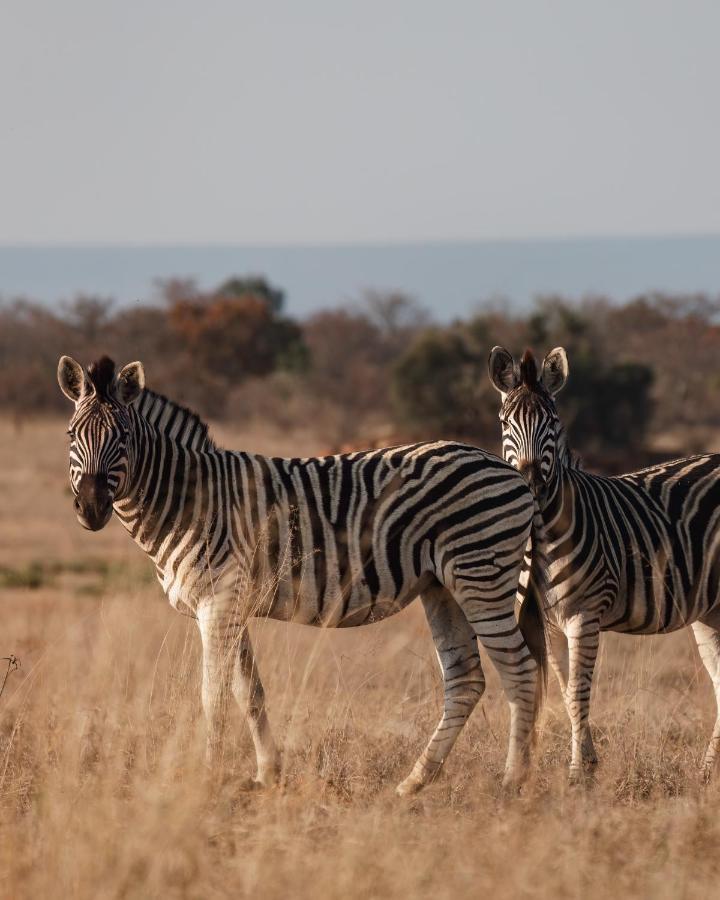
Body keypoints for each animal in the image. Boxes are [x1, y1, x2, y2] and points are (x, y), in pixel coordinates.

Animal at [59, 352, 548, 796]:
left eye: (122, 435)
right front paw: (267, 774)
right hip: (443, 587)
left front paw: (207, 777)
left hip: (482, 577)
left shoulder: (218, 602)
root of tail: (511, 473)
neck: (188, 501)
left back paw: (512, 784)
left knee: (521, 672)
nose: (90, 508)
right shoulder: (231, 606)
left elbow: (213, 695)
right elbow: (249, 692)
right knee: (466, 680)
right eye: (70, 434)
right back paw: (414, 782)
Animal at [490, 344, 720, 780]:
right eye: (506, 423)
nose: (530, 483)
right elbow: (562, 693)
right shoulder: (546, 620)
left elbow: (579, 693)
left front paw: (578, 775)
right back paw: (705, 774)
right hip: (709, 609)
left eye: (553, 423)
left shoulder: (584, 614)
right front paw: (588, 766)